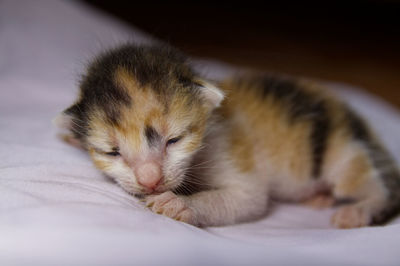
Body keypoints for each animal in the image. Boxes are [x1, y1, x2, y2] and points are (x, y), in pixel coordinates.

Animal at [55, 44, 400, 228]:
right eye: (112, 152)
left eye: (174, 139)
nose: (150, 181)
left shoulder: (231, 150)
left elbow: (246, 198)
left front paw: (180, 205)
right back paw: (320, 197)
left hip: (343, 152)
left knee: (375, 188)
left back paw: (358, 210)